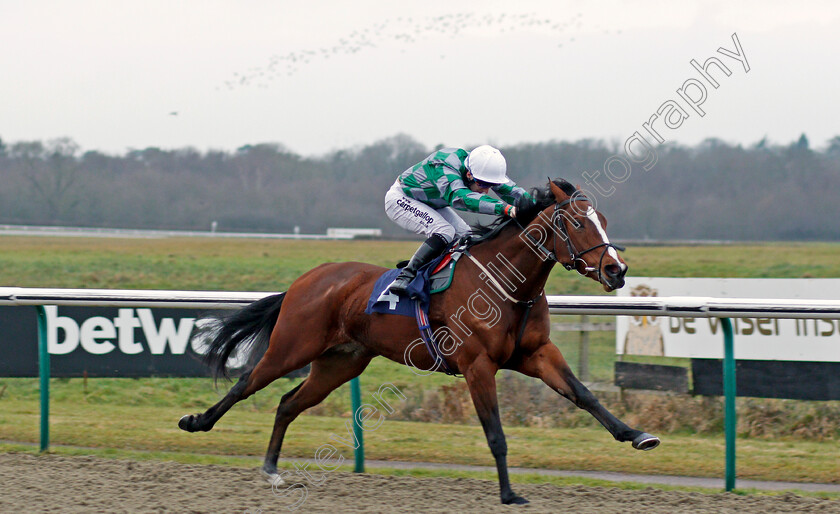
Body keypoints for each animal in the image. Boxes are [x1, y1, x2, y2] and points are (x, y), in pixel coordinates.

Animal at [180, 178, 660, 502]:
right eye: (577, 223)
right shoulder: (477, 365)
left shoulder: (537, 353)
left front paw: (636, 435)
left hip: (340, 363)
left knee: (287, 403)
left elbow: (584, 395)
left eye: (603, 221)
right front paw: (509, 494)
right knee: (247, 385)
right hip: (291, 346)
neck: (506, 283)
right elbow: (496, 433)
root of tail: (309, 278)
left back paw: (272, 470)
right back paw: (197, 422)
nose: (617, 270)